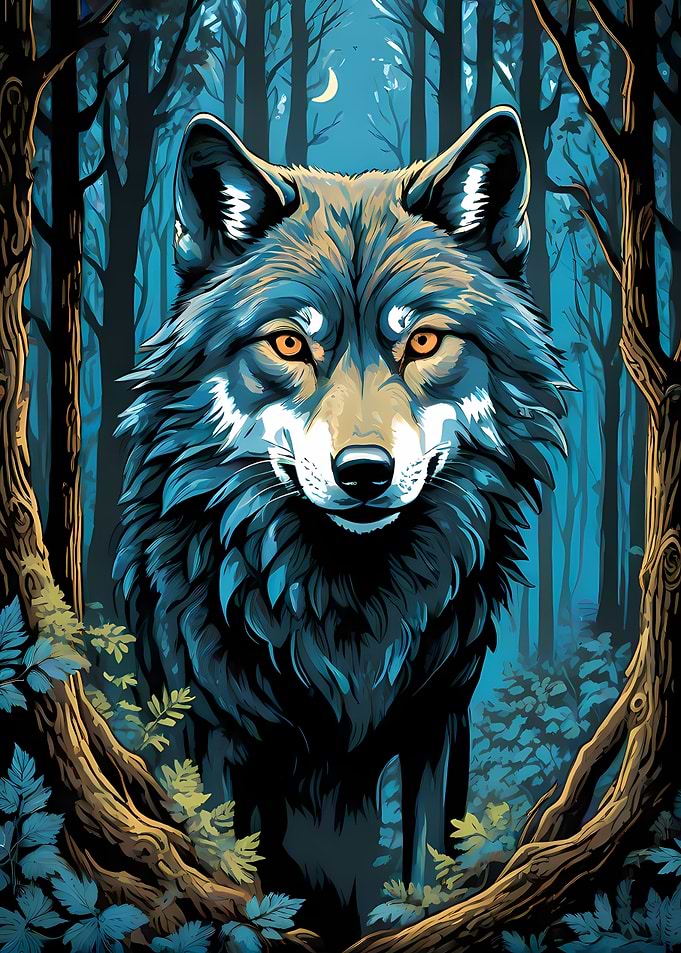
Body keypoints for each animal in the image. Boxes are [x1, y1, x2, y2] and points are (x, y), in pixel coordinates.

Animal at [115, 106, 566, 941]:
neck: (344, 603)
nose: (363, 471)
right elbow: (230, 870)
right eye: (291, 342)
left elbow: (425, 867)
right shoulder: (212, 733)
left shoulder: (437, 721)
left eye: (422, 340)